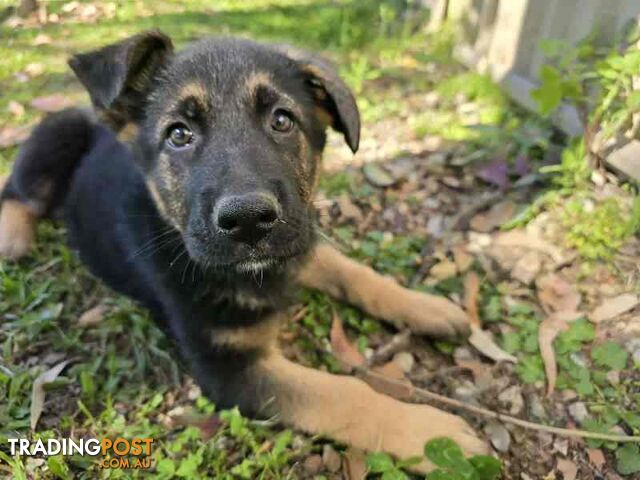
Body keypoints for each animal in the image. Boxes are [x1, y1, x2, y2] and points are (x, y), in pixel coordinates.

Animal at [0, 30, 488, 468]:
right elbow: (340, 392)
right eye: (179, 134)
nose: (249, 219)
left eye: (282, 121)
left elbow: (353, 271)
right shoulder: (230, 370)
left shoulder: (297, 236)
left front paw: (424, 305)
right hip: (55, 134)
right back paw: (12, 238)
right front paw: (432, 436)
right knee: (18, 190)